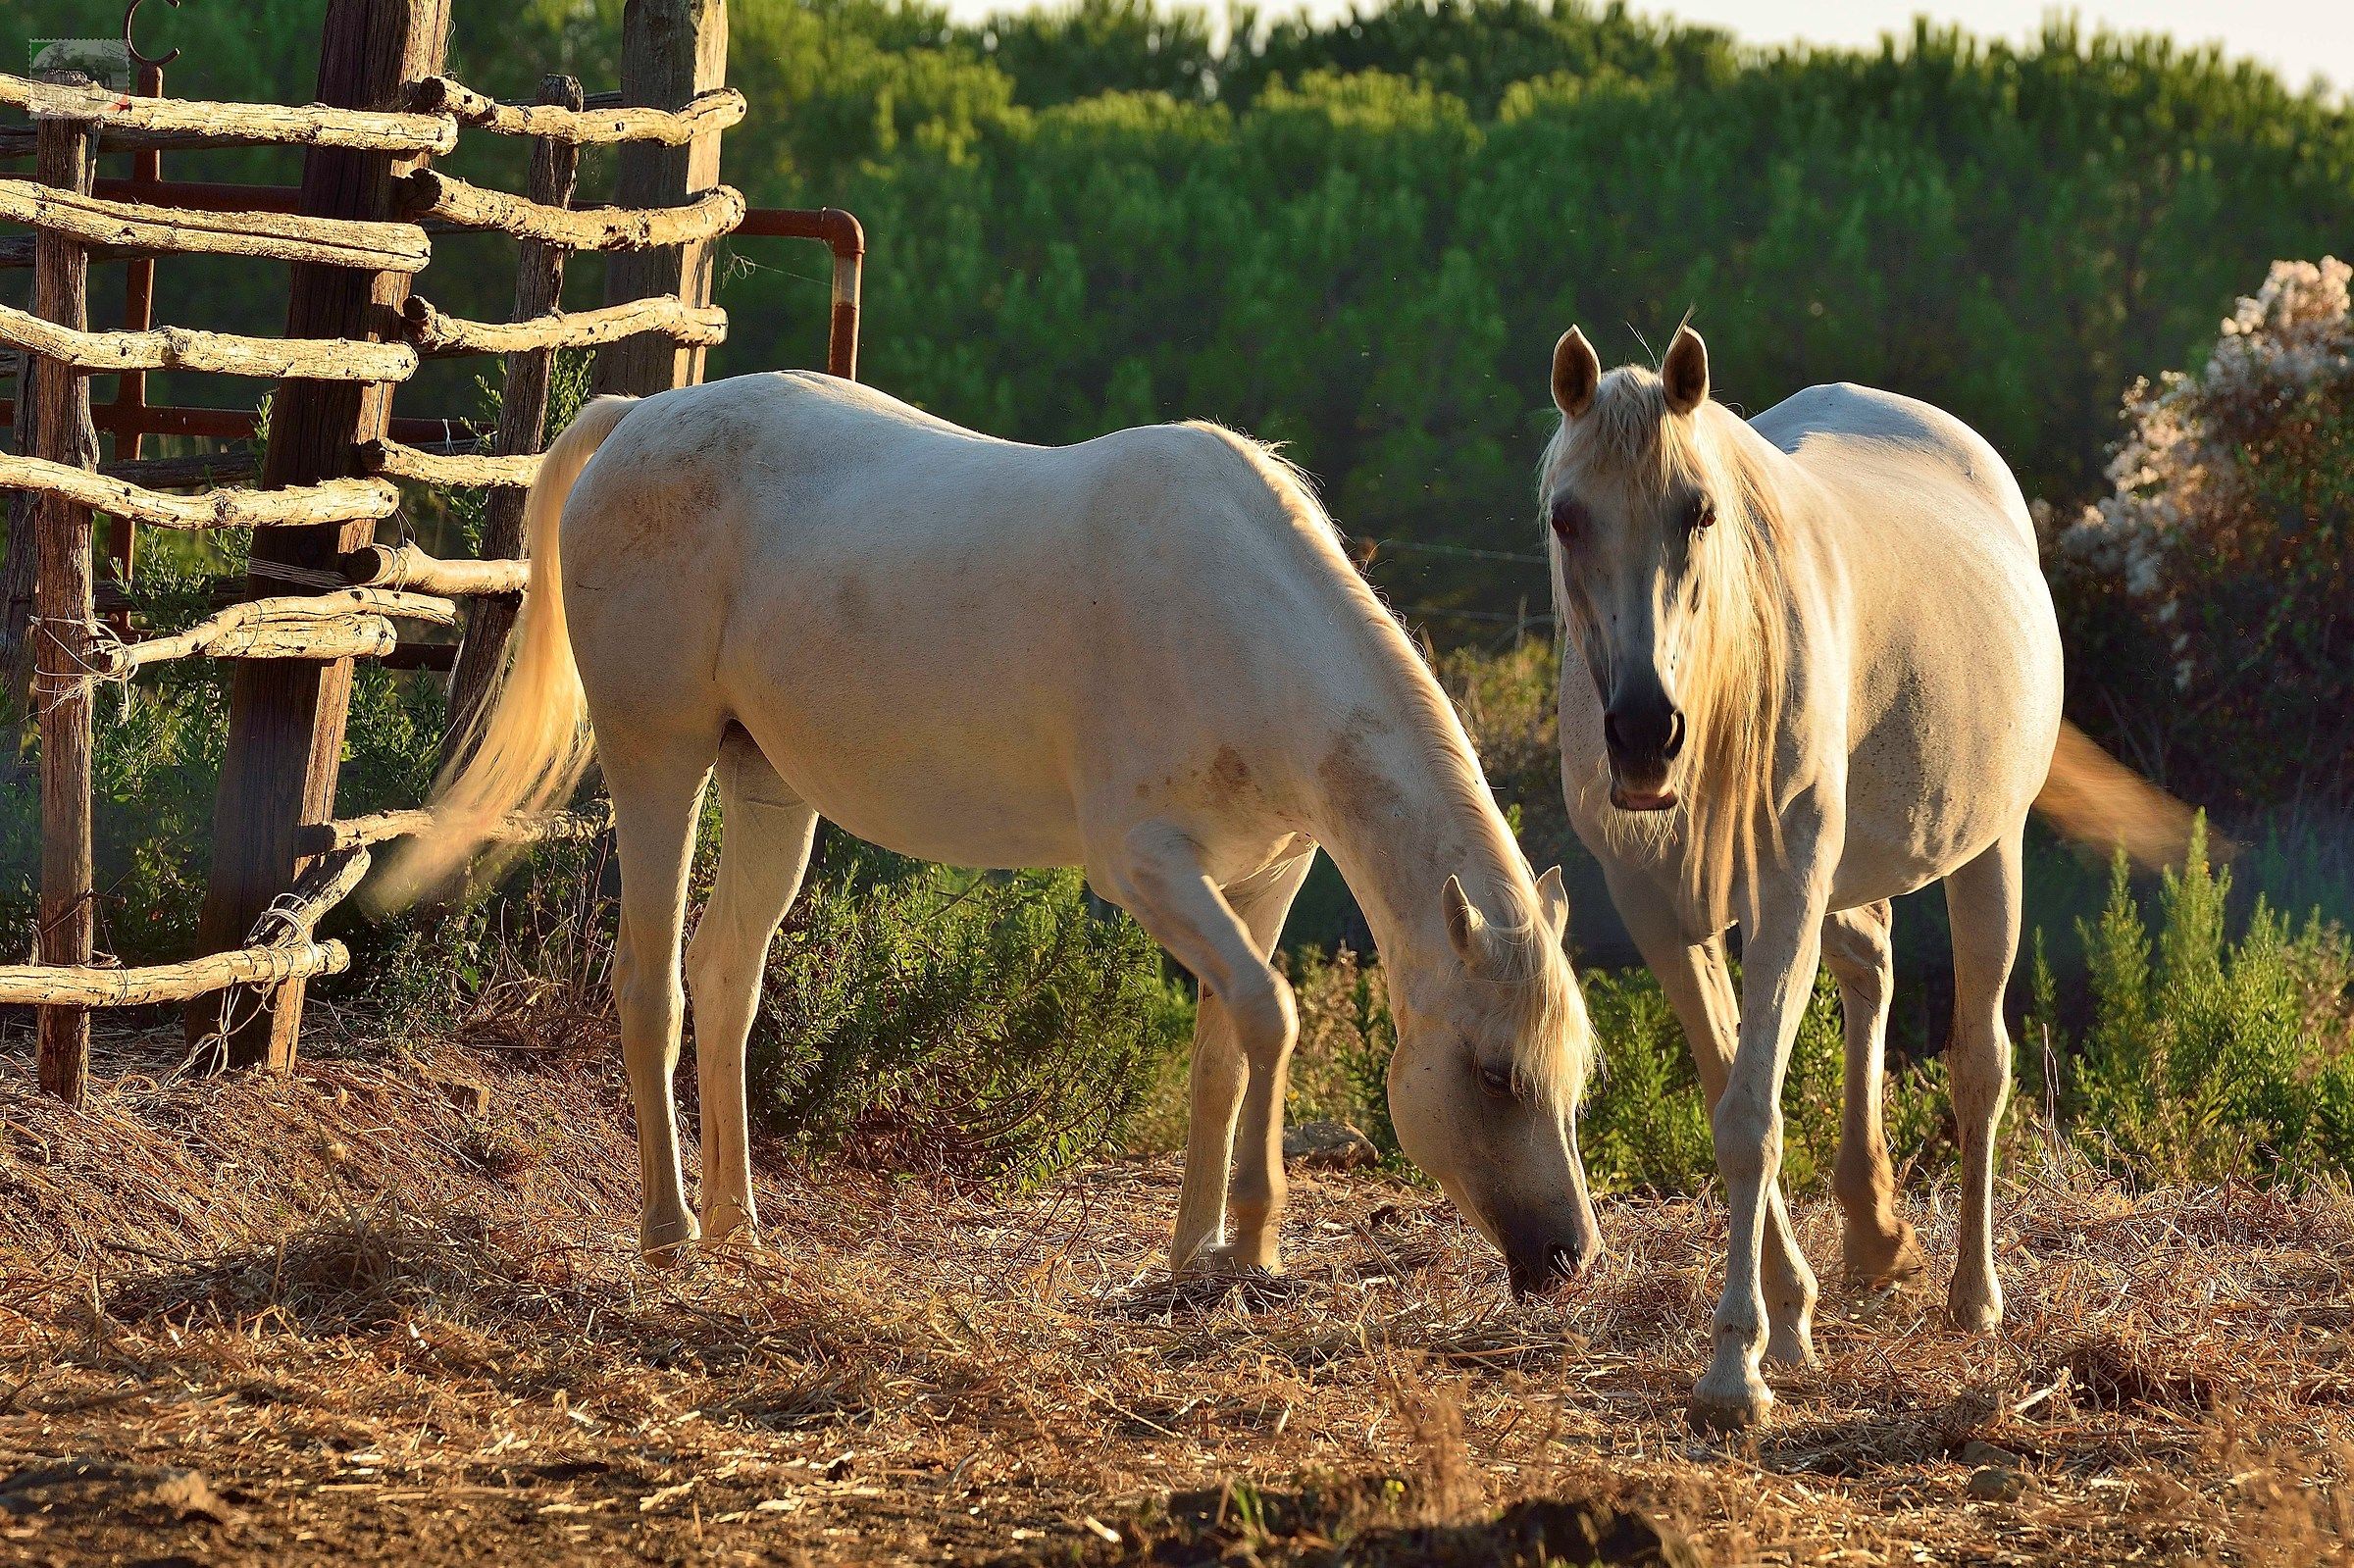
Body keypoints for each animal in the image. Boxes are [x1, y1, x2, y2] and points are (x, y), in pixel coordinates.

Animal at [390, 371, 1601, 1295]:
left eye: (1570, 1078)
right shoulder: (1148, 867)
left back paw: (740, 1228)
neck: (1243, 620)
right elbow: (1273, 1015)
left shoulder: (1260, 883)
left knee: (726, 974)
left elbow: (1225, 1049)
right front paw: (1252, 1242)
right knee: (652, 985)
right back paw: (670, 1236)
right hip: (659, 759)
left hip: (767, 787)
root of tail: (640, 417)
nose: (1568, 1258)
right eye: (1494, 1075)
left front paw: (1191, 1257)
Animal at [1539, 324, 2194, 1430]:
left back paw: (1973, 1297)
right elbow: (1731, 1088)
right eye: (1565, 515)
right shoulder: (1663, 911)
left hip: (1989, 852)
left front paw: (1737, 1365)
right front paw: (1791, 1313)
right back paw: (1876, 1235)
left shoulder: (1786, 888)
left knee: (1979, 1066)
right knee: (1872, 974)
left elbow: (1751, 1116)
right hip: (1854, 878)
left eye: (1699, 511)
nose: (1642, 733)